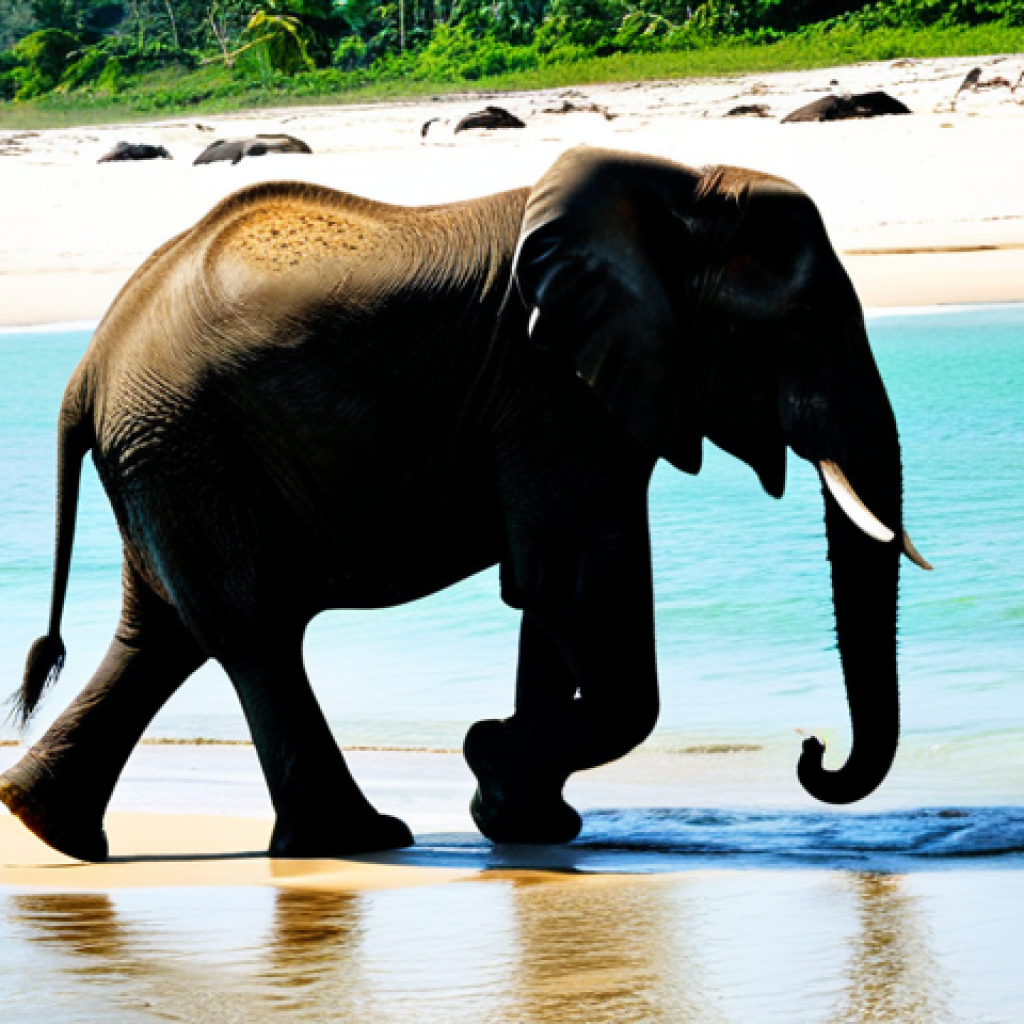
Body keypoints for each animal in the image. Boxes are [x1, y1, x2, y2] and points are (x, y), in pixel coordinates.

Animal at [0, 145, 930, 863]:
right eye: (803, 326)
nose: (811, 747)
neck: (681, 190)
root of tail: (89, 368)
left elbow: (549, 595)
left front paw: (524, 816)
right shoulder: (548, 387)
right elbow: (572, 586)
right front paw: (494, 761)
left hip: (164, 453)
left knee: (162, 635)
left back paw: (50, 828)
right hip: (186, 442)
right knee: (253, 629)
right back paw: (359, 841)